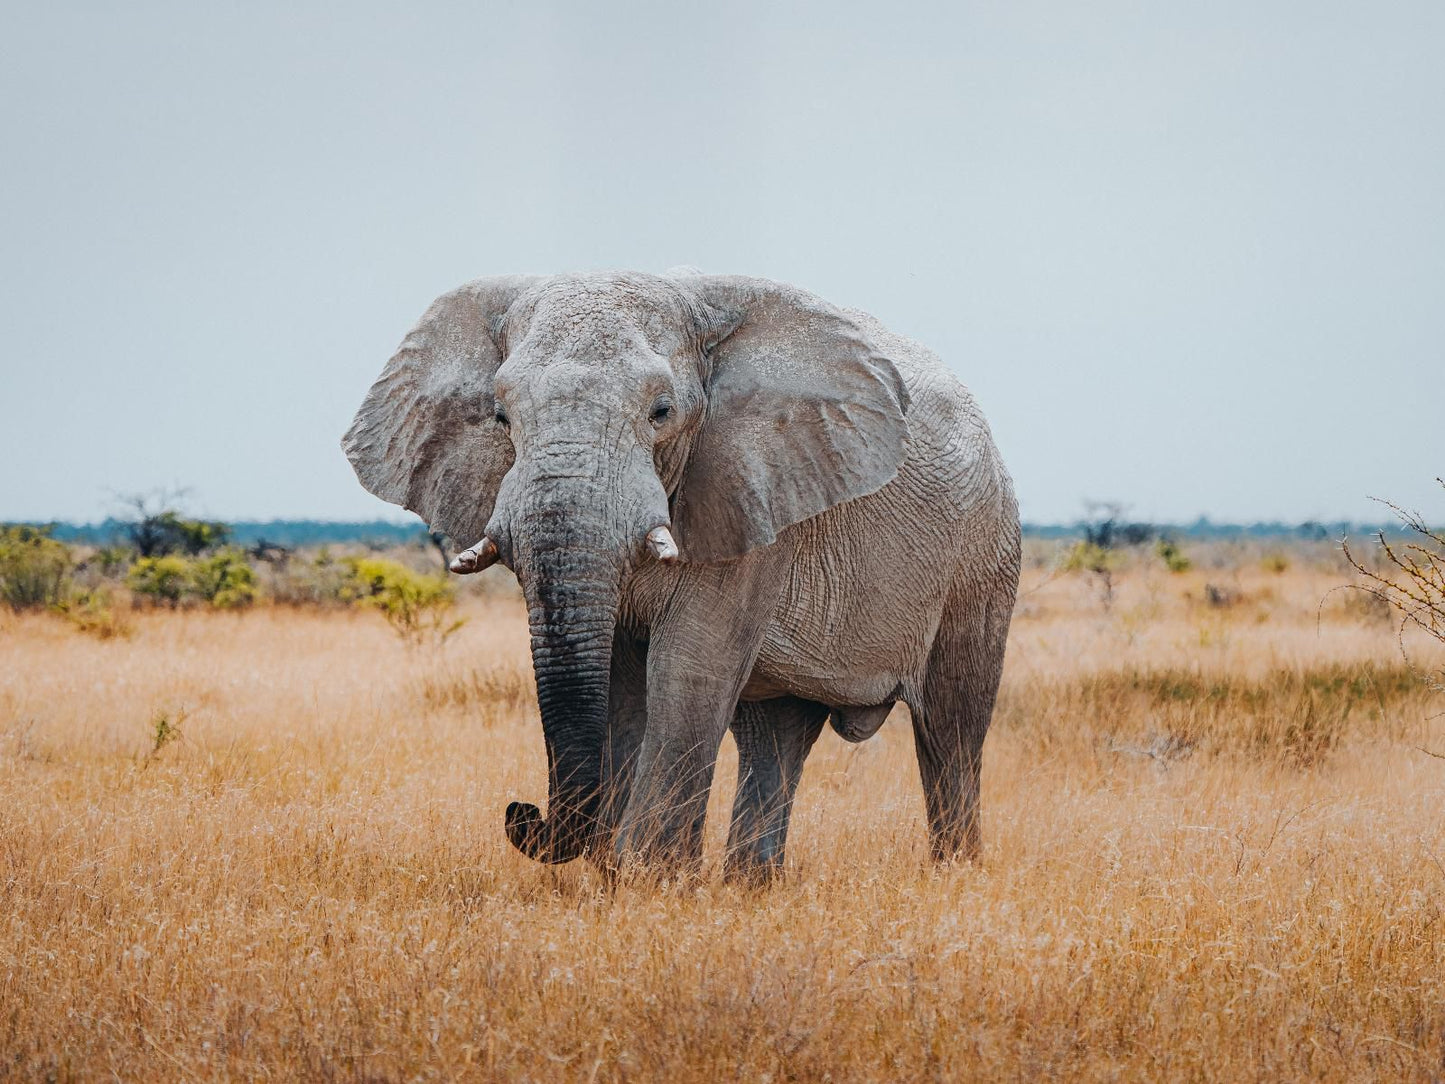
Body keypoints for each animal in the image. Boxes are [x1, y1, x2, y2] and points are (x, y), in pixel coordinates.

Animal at [339, 271, 1023, 884]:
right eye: (501, 419)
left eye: (661, 412)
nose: (521, 813)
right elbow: (621, 683)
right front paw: (616, 878)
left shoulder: (749, 489)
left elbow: (686, 668)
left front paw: (649, 882)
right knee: (776, 735)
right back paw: (751, 887)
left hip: (983, 555)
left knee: (950, 728)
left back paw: (954, 877)